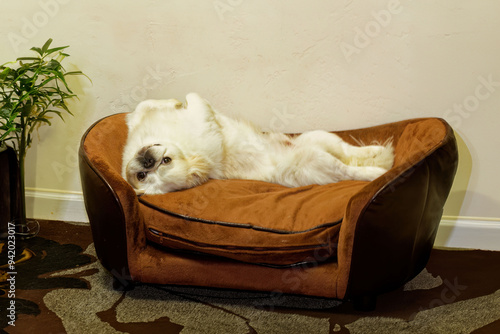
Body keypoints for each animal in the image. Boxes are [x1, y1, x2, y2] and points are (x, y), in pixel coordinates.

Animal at [122, 92, 394, 194]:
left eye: (165, 161)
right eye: (143, 176)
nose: (147, 161)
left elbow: (144, 106)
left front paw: (174, 102)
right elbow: (193, 100)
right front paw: (180, 102)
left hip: (320, 137)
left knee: (350, 151)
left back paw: (377, 150)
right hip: (318, 160)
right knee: (349, 169)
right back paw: (377, 172)